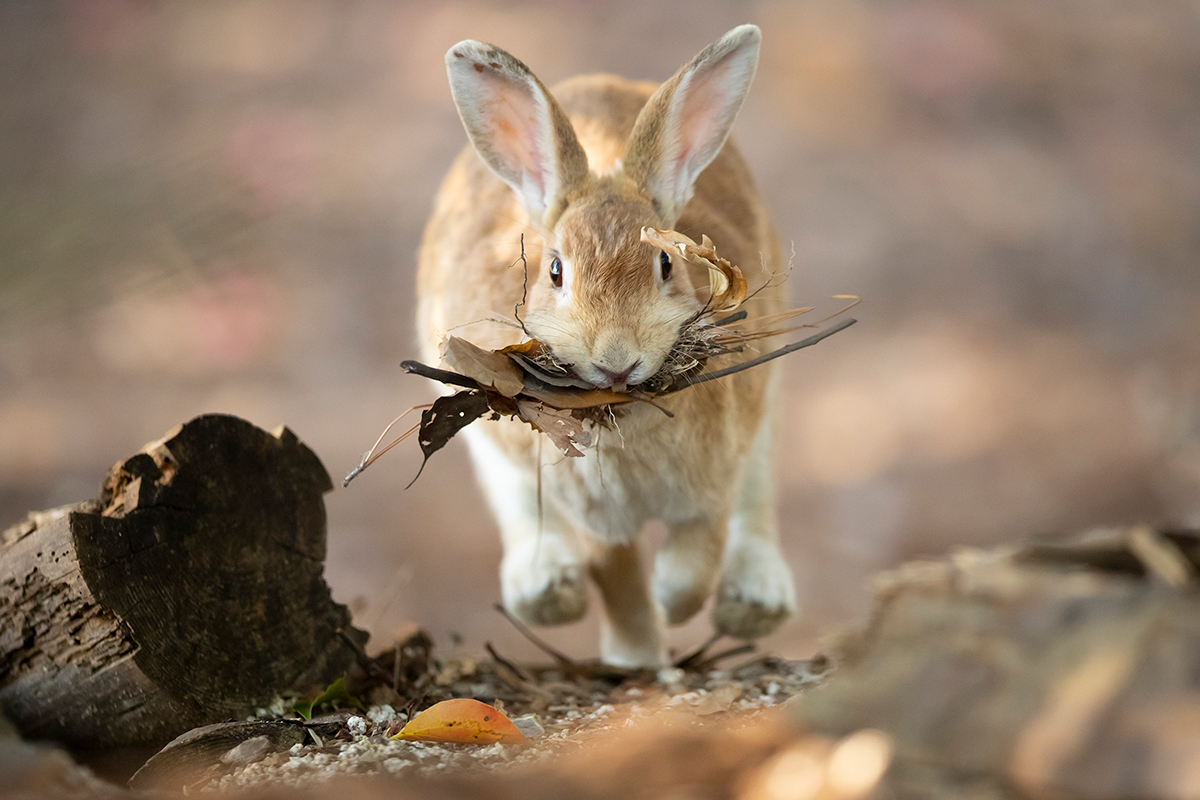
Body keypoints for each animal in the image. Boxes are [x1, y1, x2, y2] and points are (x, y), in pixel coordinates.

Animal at [415, 23, 796, 671]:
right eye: (555, 272)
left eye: (667, 263)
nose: (617, 361)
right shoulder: (593, 514)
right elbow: (618, 581)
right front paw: (638, 657)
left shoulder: (714, 481)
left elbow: (698, 558)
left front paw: (672, 605)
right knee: (514, 503)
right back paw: (546, 588)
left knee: (759, 498)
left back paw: (754, 601)